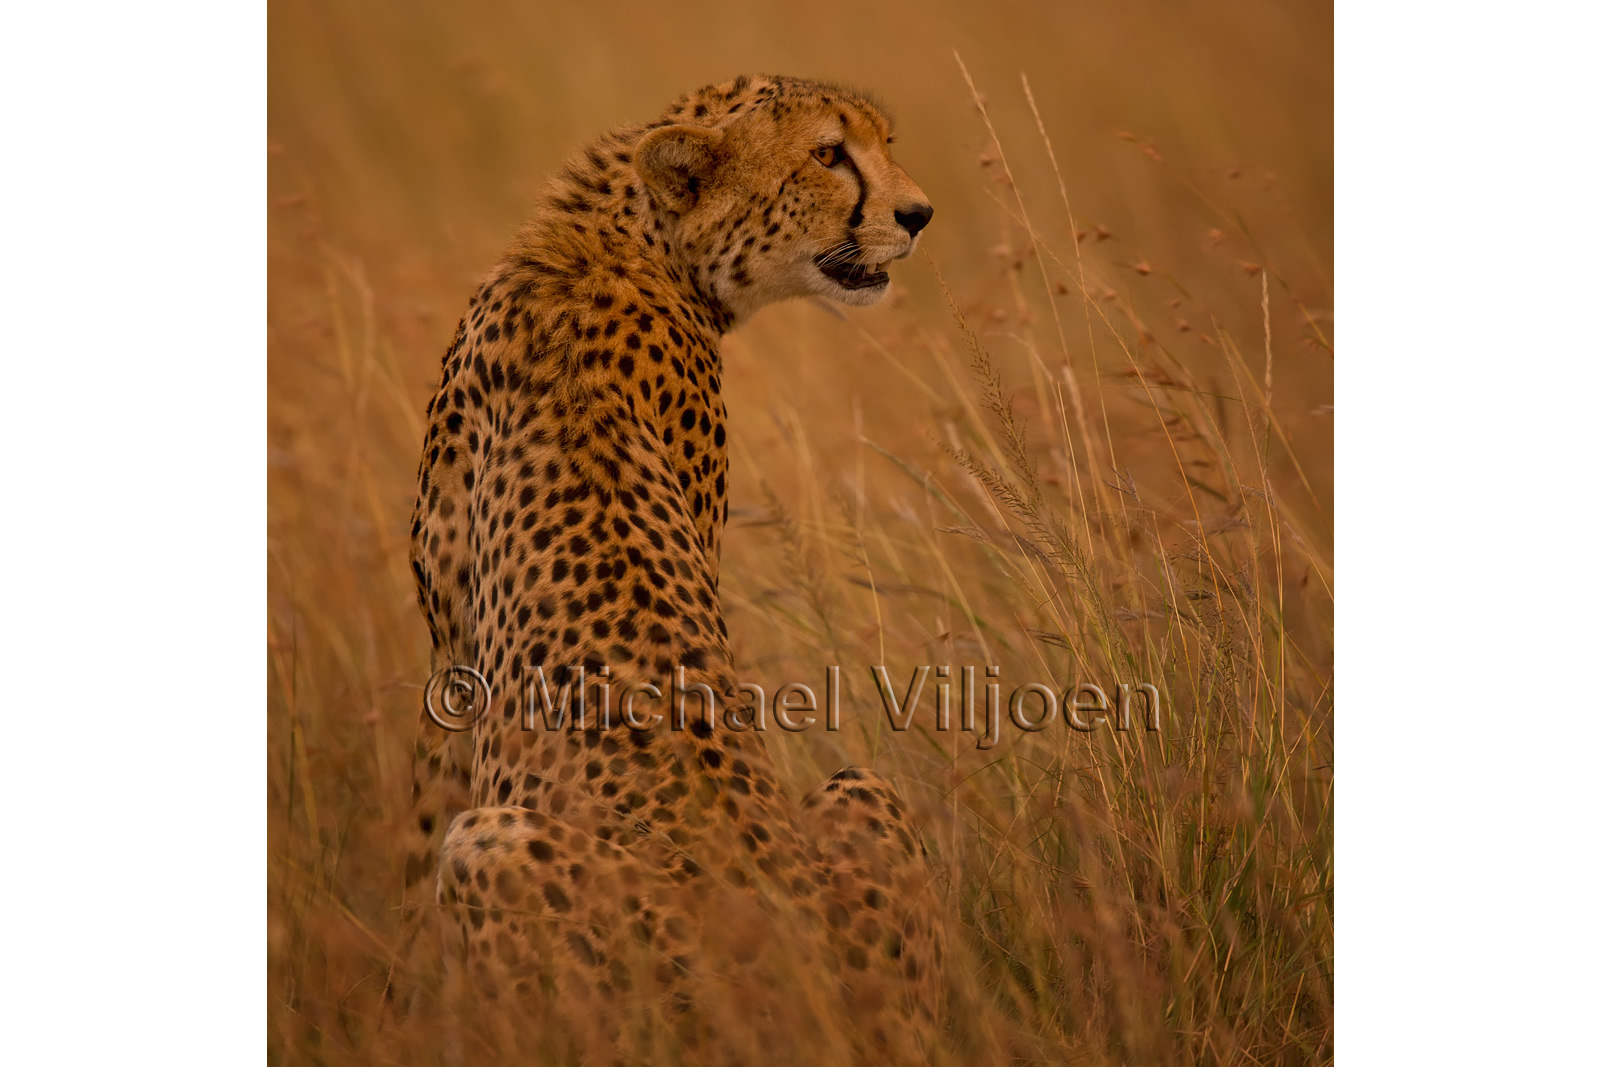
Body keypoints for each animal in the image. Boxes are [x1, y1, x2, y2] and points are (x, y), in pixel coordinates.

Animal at [393, 74, 943, 1065]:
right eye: (829, 153)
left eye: (883, 143)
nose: (920, 215)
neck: (621, 238)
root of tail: (799, 976)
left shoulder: (450, 654)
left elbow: (419, 831)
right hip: (864, 789)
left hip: (495, 847)